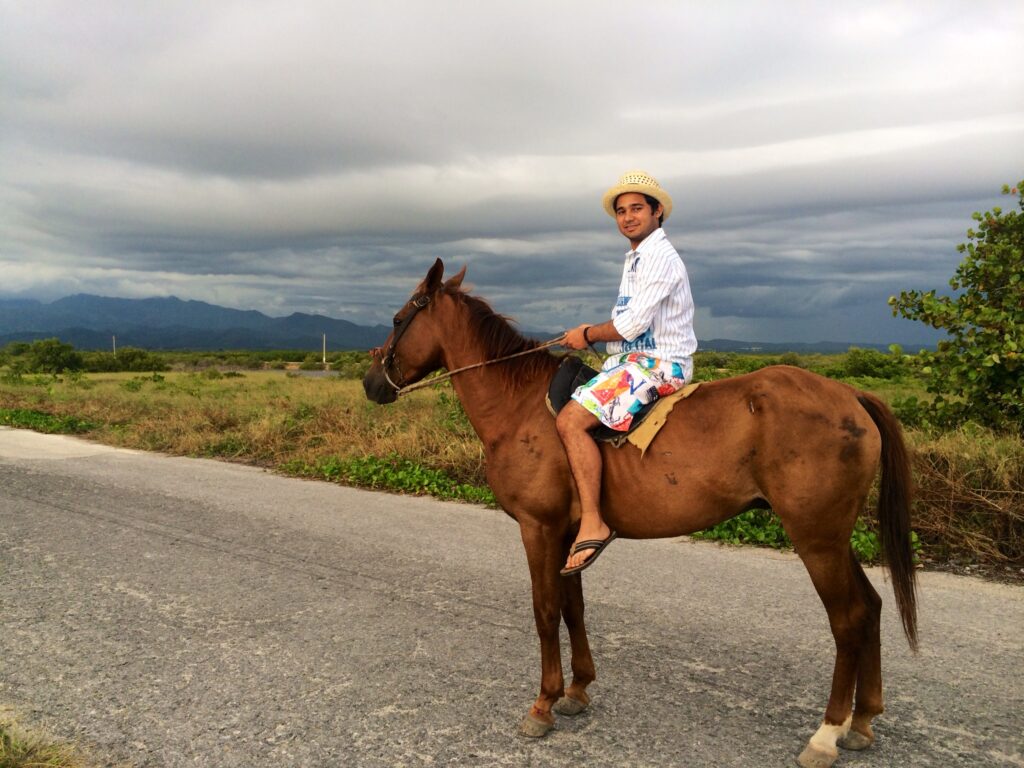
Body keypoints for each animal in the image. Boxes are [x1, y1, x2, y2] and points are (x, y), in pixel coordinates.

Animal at [364, 260, 917, 768]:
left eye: (398, 319)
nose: (372, 383)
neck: (520, 407)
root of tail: (850, 396)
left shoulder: (539, 529)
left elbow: (545, 613)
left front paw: (543, 703)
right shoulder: (570, 536)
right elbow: (573, 608)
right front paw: (577, 690)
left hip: (816, 538)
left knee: (848, 619)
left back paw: (827, 733)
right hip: (834, 538)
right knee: (871, 608)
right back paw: (862, 721)